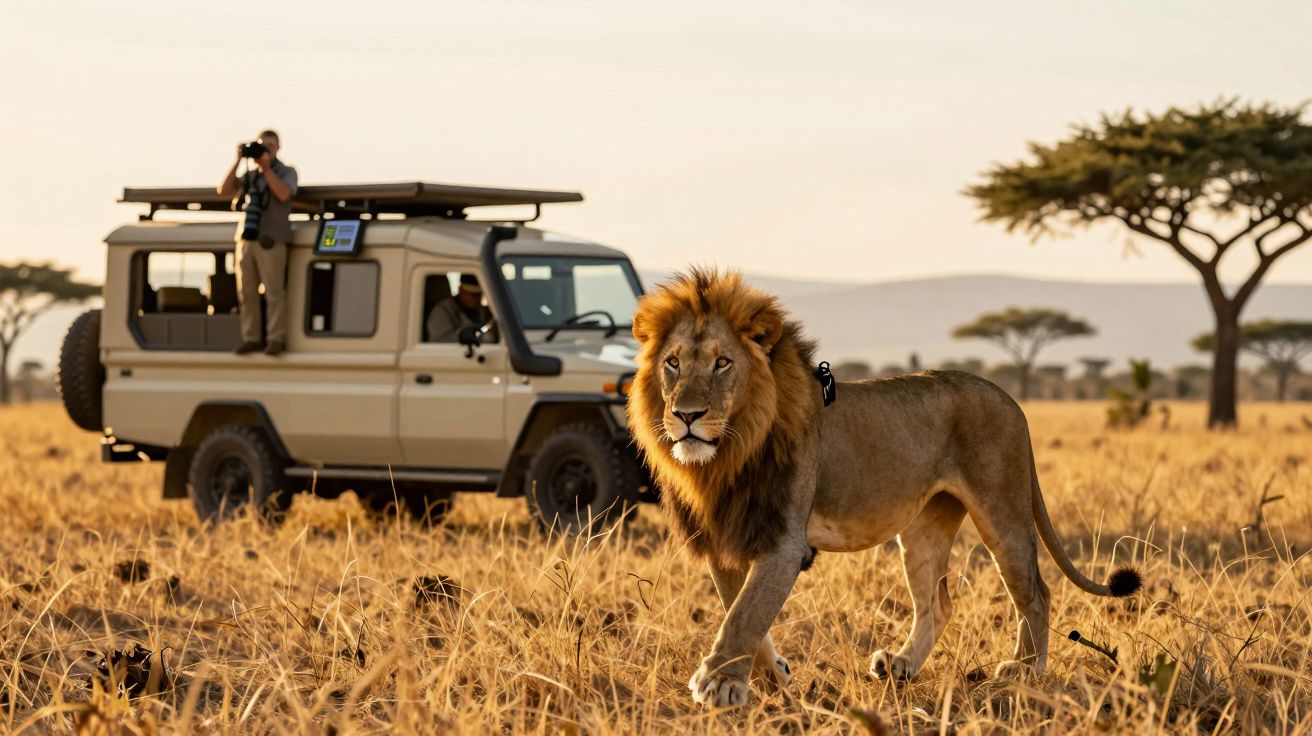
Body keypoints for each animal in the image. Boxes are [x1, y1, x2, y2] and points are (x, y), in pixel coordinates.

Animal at [627, 269, 1141, 708]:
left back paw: (1024, 671)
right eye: (673, 363)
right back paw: (900, 666)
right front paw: (773, 678)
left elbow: (746, 613)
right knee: (938, 603)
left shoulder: (784, 540)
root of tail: (1010, 398)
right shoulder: (726, 536)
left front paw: (719, 683)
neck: (728, 454)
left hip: (1003, 511)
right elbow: (741, 612)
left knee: (1035, 592)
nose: (686, 415)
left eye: (723, 363)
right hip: (923, 527)